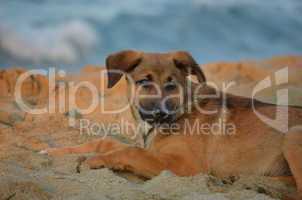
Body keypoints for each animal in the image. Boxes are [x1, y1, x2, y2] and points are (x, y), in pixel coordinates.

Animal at [40, 49, 302, 198]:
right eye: (144, 82)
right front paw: (52, 152)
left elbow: (129, 152)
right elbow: (105, 142)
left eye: (171, 84)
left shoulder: (185, 166)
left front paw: (93, 161)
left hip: (293, 135)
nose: (160, 113)